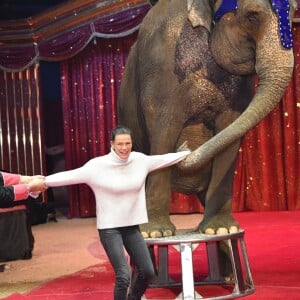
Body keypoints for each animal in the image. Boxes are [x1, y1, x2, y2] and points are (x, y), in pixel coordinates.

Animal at [116, 0, 296, 239]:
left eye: (294, 13)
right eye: (252, 16)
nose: (185, 148)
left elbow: (230, 128)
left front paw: (221, 228)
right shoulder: (163, 64)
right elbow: (164, 128)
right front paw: (156, 233)